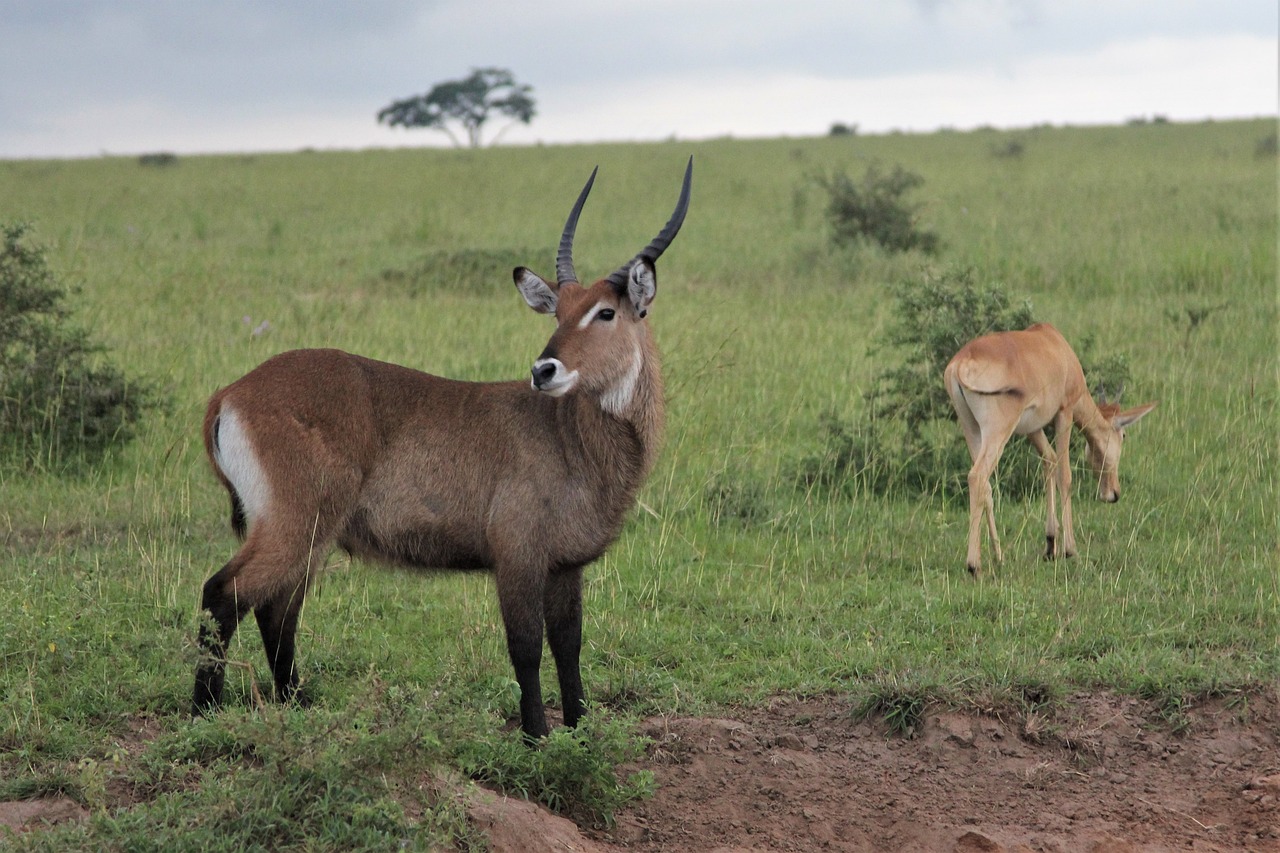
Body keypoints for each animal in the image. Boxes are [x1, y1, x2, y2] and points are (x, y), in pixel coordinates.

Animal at [192, 159, 691, 737]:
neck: (571, 437)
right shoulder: (517, 557)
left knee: (276, 610)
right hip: (294, 524)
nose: (544, 370)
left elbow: (569, 647)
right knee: (223, 594)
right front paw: (536, 737)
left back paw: (297, 706)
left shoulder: (566, 566)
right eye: (559, 313)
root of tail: (231, 392)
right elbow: (525, 648)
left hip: (312, 535)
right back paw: (203, 713)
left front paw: (579, 732)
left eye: (605, 312)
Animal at [942, 322, 1162, 573]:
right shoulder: (1064, 412)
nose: (1113, 494)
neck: (1055, 344)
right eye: (1123, 434)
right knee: (977, 476)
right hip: (998, 429)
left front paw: (1050, 545)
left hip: (970, 427)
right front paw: (1070, 549)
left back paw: (999, 557)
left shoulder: (1032, 428)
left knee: (985, 485)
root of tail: (961, 362)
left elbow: (1049, 459)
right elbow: (1065, 474)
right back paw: (974, 566)